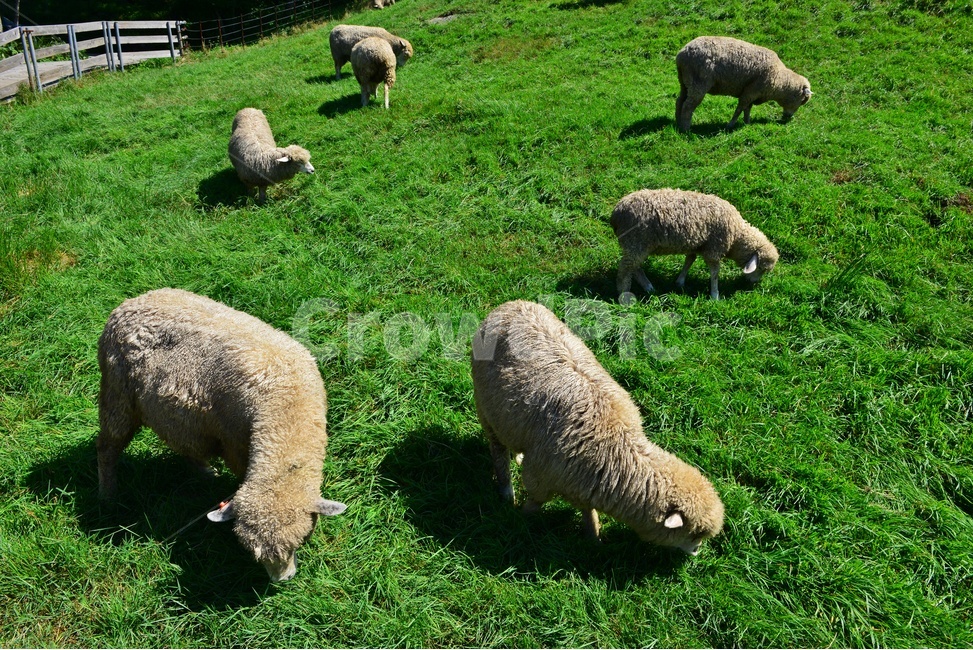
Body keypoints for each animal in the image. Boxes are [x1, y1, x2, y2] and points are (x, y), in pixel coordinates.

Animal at [96, 288, 347, 582]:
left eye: (301, 540)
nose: (282, 580)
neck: (287, 409)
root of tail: (128, 304)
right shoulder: (236, 445)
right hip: (117, 395)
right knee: (106, 447)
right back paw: (108, 495)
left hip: (178, 414)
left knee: (184, 442)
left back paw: (204, 472)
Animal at [471, 300, 724, 555]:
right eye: (693, 533)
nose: (697, 552)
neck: (617, 449)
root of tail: (511, 305)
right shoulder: (540, 478)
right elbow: (534, 503)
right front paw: (522, 521)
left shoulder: (581, 484)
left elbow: (587, 511)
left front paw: (594, 537)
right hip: (486, 408)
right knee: (498, 450)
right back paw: (506, 491)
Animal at [611, 188, 779, 301]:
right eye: (761, 269)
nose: (753, 283)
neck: (736, 234)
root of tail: (616, 214)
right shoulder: (713, 249)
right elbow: (715, 273)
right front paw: (715, 295)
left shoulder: (696, 245)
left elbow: (689, 260)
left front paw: (680, 281)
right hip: (635, 241)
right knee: (625, 269)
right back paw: (624, 295)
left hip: (638, 245)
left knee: (635, 267)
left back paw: (648, 287)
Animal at [675, 36, 812, 132]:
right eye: (802, 101)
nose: (788, 118)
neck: (780, 80)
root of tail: (681, 54)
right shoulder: (751, 91)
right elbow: (739, 109)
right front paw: (730, 125)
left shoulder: (752, 93)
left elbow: (747, 109)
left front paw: (747, 123)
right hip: (698, 83)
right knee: (688, 106)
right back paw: (686, 129)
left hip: (685, 82)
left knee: (680, 101)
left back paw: (678, 123)